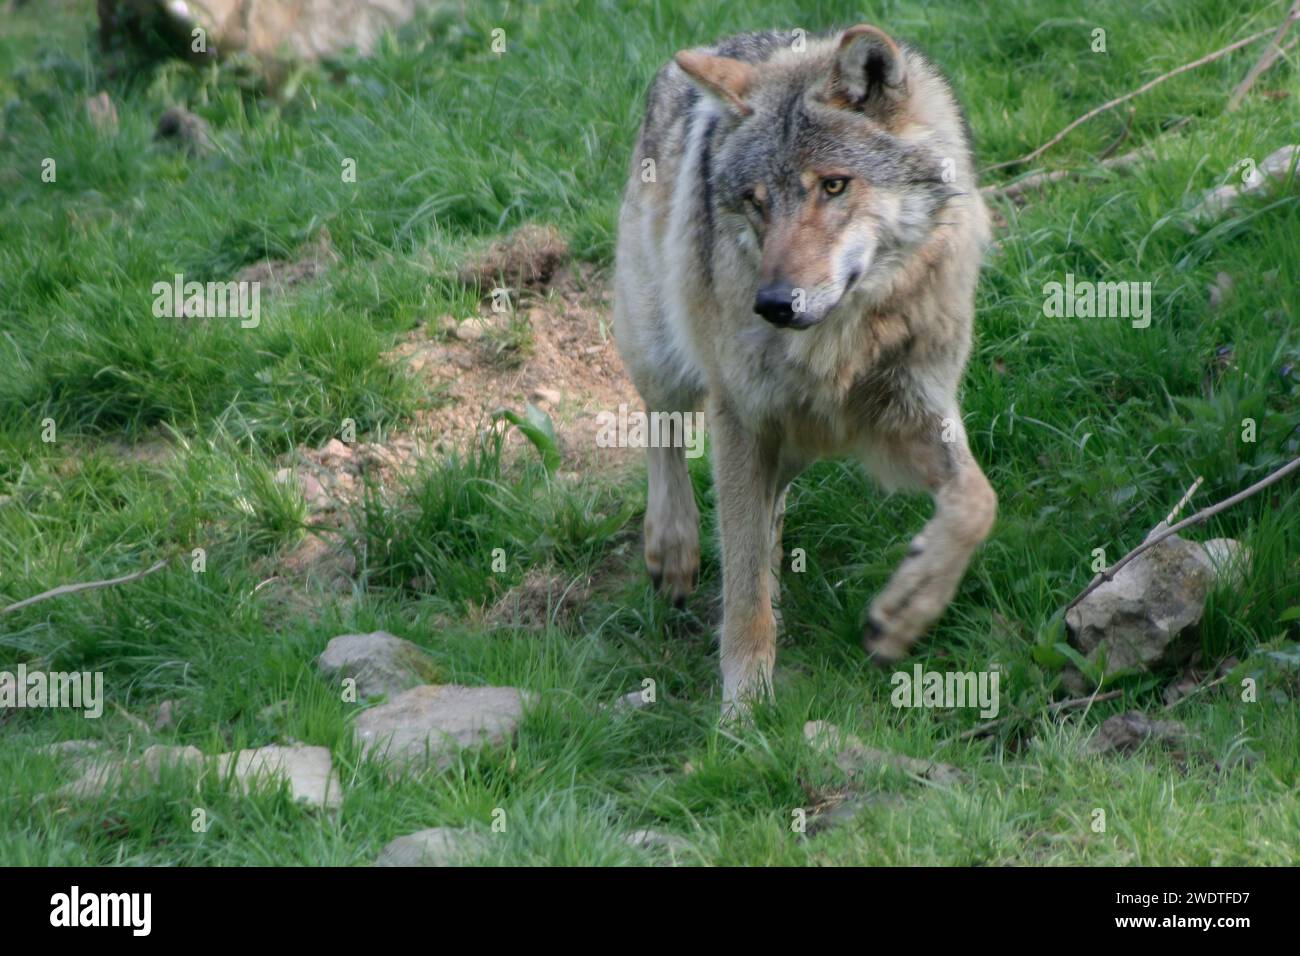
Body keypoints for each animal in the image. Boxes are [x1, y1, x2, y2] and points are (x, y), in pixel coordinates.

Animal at [613, 22, 998, 712]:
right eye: (756, 202)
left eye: (834, 186)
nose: (772, 304)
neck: (842, 339)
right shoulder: (739, 417)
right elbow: (741, 584)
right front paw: (743, 709)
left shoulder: (912, 409)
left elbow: (978, 502)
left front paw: (905, 610)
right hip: (661, 344)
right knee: (661, 421)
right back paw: (673, 544)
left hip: (792, 442)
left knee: (770, 507)